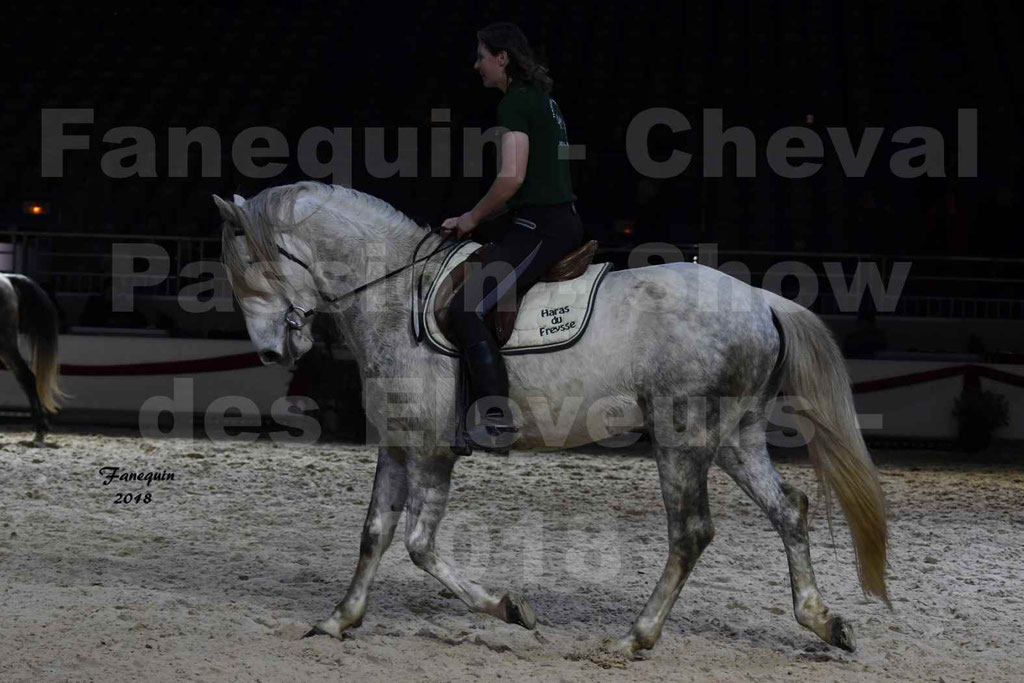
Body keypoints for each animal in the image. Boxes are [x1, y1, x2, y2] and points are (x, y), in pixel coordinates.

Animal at [214, 183, 888, 663]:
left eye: (245, 265)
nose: (271, 352)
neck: (391, 294)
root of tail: (760, 299)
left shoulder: (432, 450)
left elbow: (419, 545)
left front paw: (511, 608)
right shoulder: (397, 445)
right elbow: (374, 535)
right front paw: (339, 618)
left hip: (684, 437)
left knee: (691, 532)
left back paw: (635, 637)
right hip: (734, 437)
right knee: (789, 509)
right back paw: (822, 621)